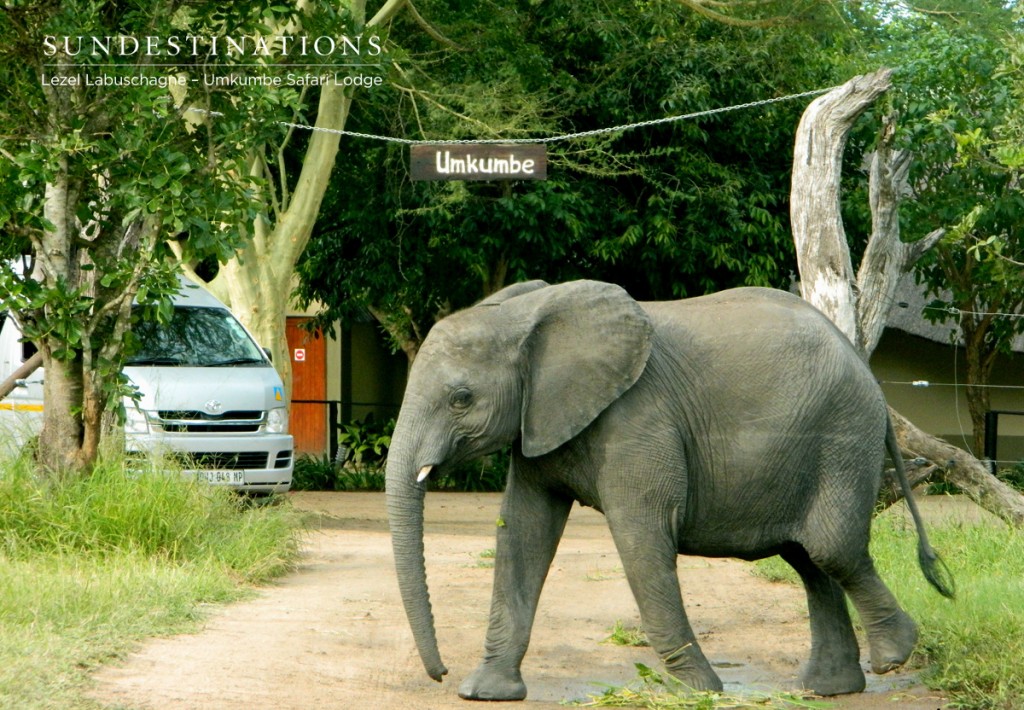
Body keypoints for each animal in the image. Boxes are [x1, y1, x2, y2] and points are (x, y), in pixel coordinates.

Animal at [385, 276, 950, 696]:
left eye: (461, 399)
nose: (440, 674)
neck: (526, 315)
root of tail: (865, 370)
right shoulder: (539, 421)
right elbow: (523, 532)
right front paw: (485, 693)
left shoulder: (638, 419)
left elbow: (642, 535)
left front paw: (699, 690)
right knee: (809, 559)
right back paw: (829, 689)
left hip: (841, 434)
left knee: (831, 548)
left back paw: (894, 656)